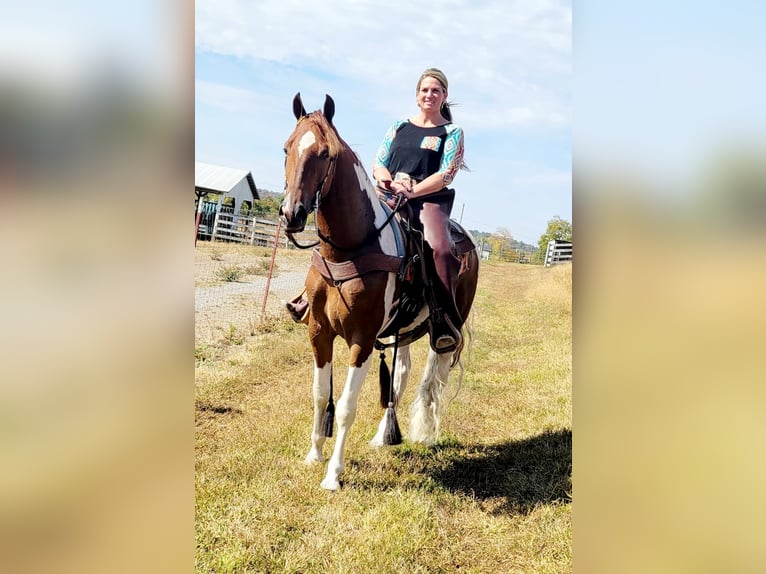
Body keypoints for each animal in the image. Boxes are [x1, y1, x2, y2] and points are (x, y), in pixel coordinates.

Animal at [280, 93, 476, 490]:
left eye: (324, 152)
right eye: (287, 148)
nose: (291, 214)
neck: (350, 248)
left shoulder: (363, 339)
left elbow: (346, 406)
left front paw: (333, 474)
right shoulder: (319, 332)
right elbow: (320, 395)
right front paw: (314, 455)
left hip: (445, 332)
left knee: (434, 379)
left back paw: (426, 433)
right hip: (403, 329)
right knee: (401, 372)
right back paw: (383, 434)